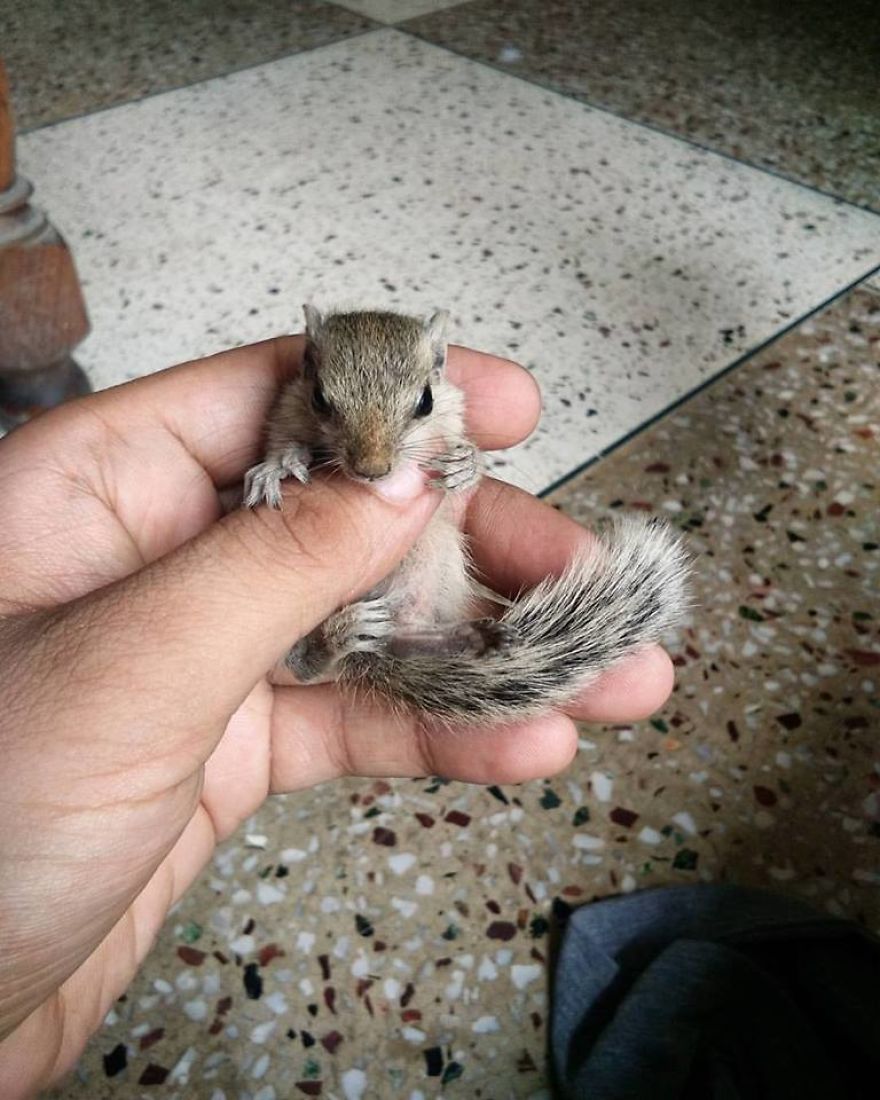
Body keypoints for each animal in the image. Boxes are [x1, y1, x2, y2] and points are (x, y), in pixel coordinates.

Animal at [243, 306, 689, 725]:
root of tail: (372, 653)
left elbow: (460, 481)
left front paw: (467, 465)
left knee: (403, 636)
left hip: (438, 559)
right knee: (301, 665)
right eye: (319, 398)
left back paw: (472, 638)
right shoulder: (286, 407)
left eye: (426, 401)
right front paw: (280, 465)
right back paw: (339, 638)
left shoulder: (451, 432)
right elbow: (280, 442)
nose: (373, 471)